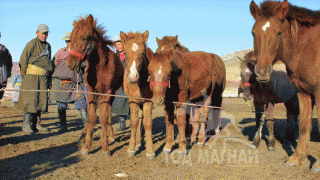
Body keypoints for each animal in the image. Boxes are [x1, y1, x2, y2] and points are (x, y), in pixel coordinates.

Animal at [66, 14, 124, 157]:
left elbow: (103, 118)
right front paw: (86, 146)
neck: (100, 67)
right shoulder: (91, 92)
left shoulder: (106, 92)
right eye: (72, 38)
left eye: (85, 37)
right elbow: (91, 118)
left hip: (111, 94)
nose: (70, 63)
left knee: (108, 114)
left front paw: (105, 148)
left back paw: (111, 136)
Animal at [120, 30, 155, 159]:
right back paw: (138, 143)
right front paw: (131, 148)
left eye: (142, 53)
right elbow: (134, 122)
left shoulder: (148, 102)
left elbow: (148, 123)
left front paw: (150, 150)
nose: (133, 77)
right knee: (139, 118)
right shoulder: (133, 101)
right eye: (125, 52)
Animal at [250, 0, 320, 172]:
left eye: (279, 33)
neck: (309, 48)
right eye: (253, 33)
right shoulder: (303, 92)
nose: (262, 72)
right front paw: (296, 159)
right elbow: (303, 125)